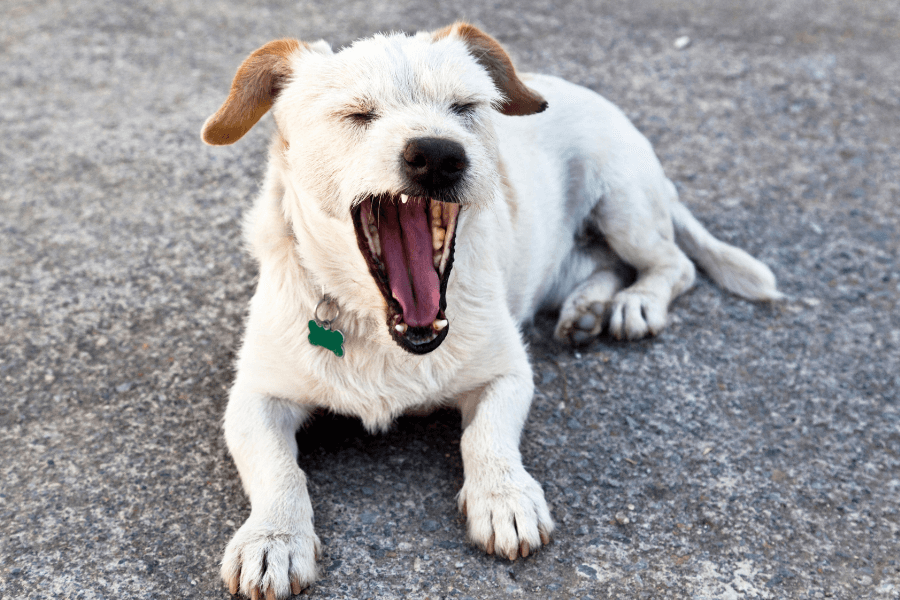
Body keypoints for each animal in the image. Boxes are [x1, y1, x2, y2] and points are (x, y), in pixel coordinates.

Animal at [202, 21, 780, 596]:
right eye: (358, 114)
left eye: (464, 107)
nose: (438, 154)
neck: (382, 328)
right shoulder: (253, 399)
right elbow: (280, 470)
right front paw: (274, 537)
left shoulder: (508, 374)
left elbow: (487, 436)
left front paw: (504, 498)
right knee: (604, 264)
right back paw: (588, 307)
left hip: (624, 202)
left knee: (672, 263)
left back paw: (634, 304)